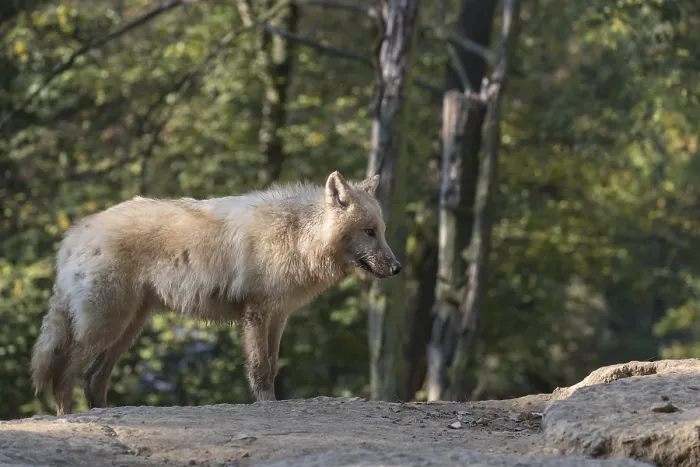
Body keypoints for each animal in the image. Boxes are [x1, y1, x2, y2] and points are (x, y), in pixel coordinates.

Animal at [30, 171, 402, 415]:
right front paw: (267, 405)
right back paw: (71, 417)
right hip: (106, 326)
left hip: (127, 330)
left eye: (382, 232)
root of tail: (75, 233)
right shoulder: (257, 314)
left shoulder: (278, 317)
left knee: (93, 379)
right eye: (369, 232)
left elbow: (273, 366)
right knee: (65, 373)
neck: (298, 237)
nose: (398, 268)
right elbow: (260, 369)